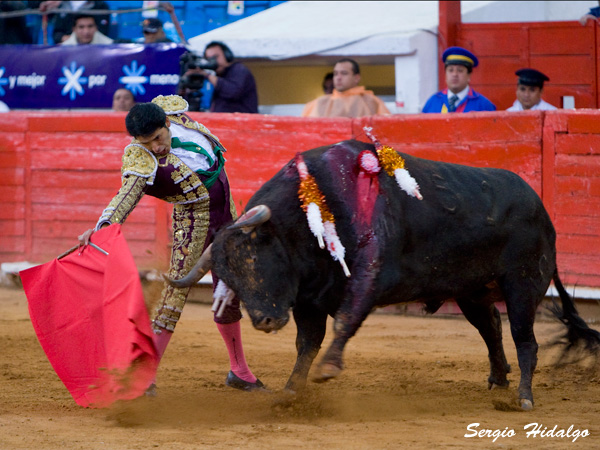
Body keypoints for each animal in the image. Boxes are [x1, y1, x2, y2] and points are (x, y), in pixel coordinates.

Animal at [170, 139, 600, 410]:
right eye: (230, 278)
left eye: (256, 259)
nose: (265, 321)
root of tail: (541, 209)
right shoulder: (309, 299)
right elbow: (306, 344)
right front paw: (292, 391)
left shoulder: (371, 274)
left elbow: (345, 319)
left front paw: (328, 370)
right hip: (471, 290)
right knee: (491, 325)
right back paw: (498, 379)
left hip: (523, 285)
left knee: (525, 340)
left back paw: (524, 397)